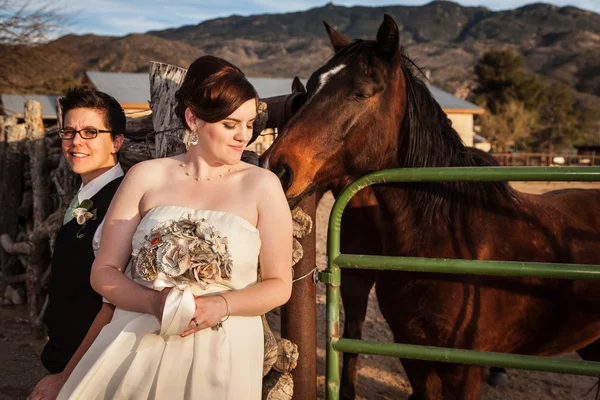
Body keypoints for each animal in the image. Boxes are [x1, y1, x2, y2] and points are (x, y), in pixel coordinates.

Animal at [264, 14, 600, 398]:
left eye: (361, 92)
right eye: (312, 88)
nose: (276, 168)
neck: (446, 243)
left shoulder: (463, 371)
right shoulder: (416, 358)